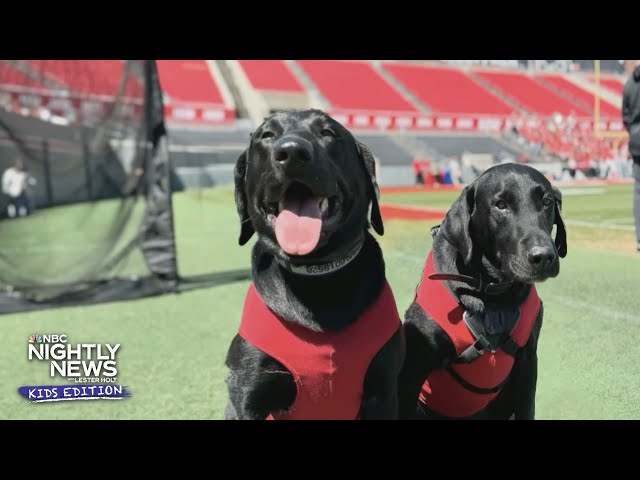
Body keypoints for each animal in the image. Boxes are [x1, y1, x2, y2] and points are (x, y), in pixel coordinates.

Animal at [226, 109, 404, 420]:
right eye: (266, 135)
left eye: (328, 133)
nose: (292, 152)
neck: (317, 281)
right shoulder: (248, 393)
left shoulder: (382, 391)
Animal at [398, 163, 568, 418]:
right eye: (500, 204)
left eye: (547, 201)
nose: (544, 256)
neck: (492, 293)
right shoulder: (413, 368)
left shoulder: (527, 362)